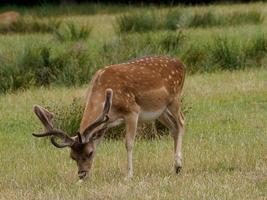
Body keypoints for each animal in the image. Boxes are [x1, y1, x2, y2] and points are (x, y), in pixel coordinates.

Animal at [32, 55, 185, 180]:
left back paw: (178, 164)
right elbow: (98, 142)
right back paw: (174, 167)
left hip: (175, 99)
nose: (82, 174)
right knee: (173, 128)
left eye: (89, 153)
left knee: (181, 122)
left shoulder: (132, 110)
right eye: (72, 156)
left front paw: (129, 175)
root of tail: (181, 64)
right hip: (160, 111)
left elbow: (128, 143)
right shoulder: (104, 123)